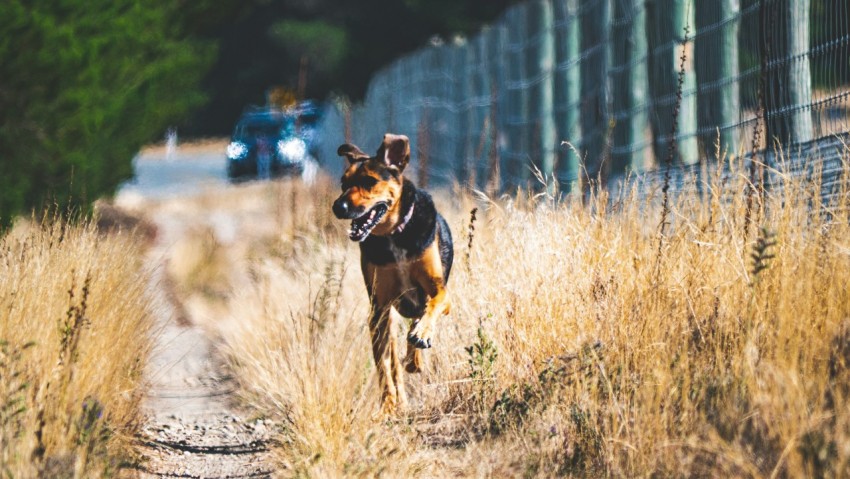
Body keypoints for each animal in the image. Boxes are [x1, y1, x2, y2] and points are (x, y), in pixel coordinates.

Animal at [332, 133, 450, 414]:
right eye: (343, 183)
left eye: (369, 181)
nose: (337, 207)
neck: (394, 234)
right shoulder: (379, 309)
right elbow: (384, 366)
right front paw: (387, 405)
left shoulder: (440, 291)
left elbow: (433, 304)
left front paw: (422, 335)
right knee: (394, 361)